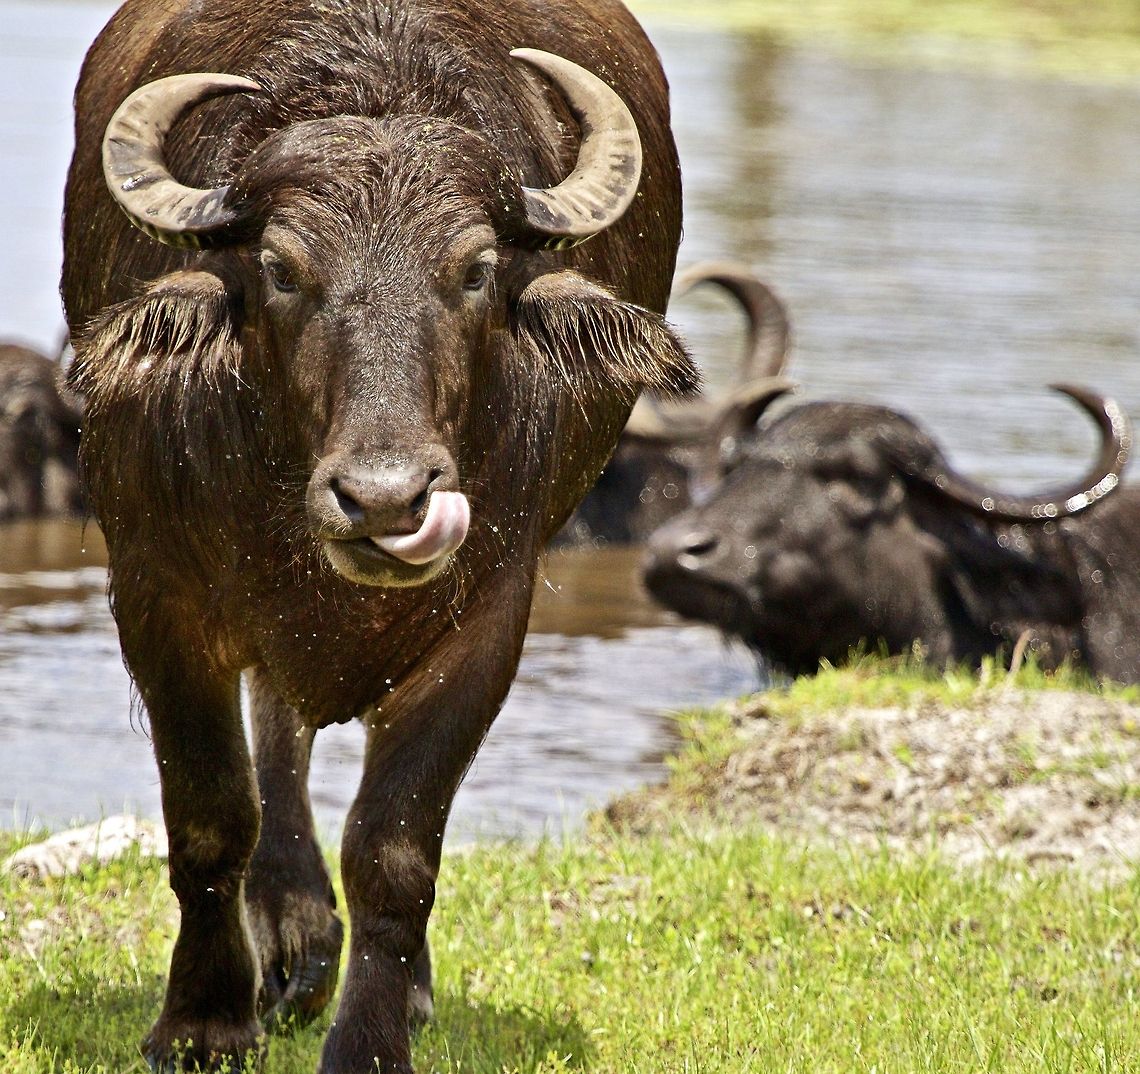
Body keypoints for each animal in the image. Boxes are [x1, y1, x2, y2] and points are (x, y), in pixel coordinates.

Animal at [62, 1, 696, 1070]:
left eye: (476, 269)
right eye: (281, 269)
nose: (386, 499)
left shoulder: (489, 616)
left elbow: (396, 847)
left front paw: (371, 1036)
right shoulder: (156, 594)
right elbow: (211, 812)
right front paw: (203, 1020)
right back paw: (291, 939)